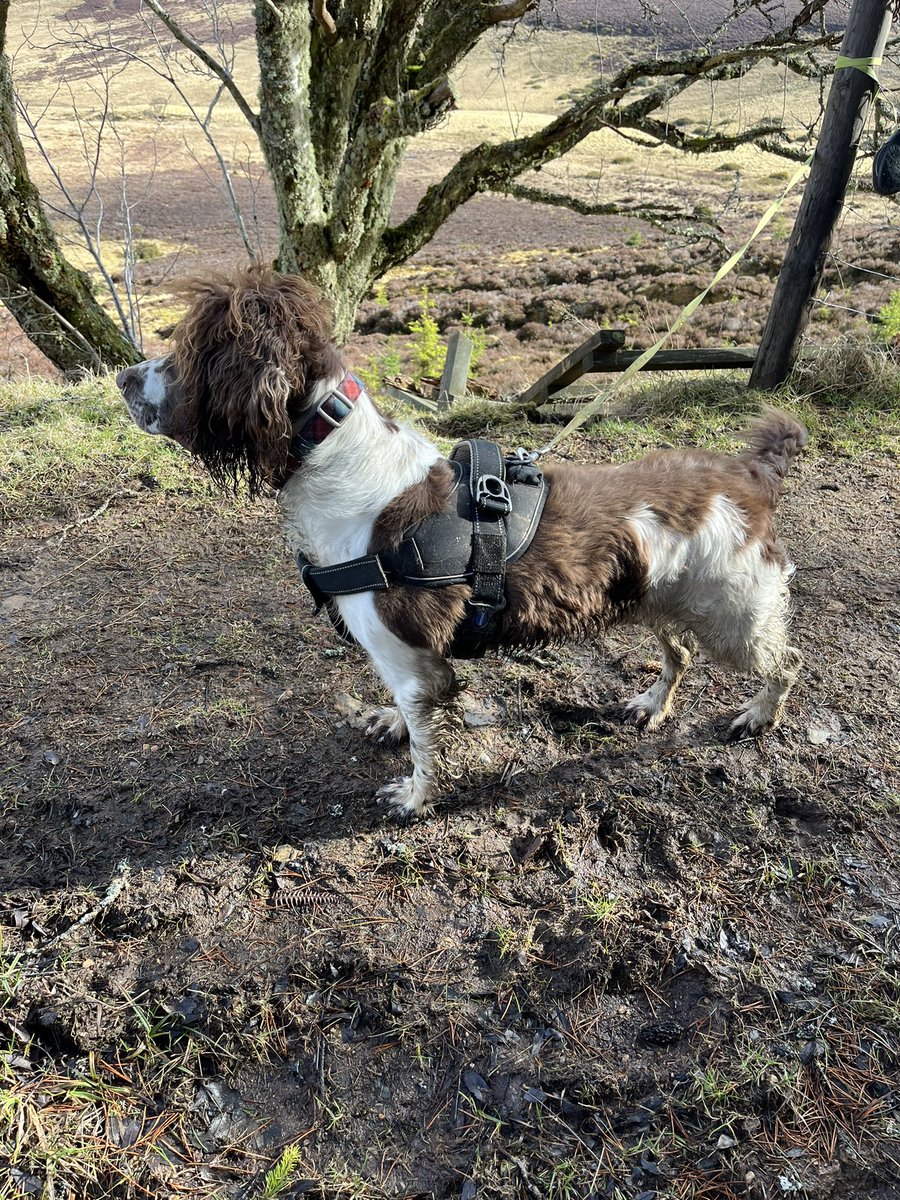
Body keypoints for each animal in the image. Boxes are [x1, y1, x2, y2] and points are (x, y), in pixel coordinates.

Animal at [116, 267, 806, 820]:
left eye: (186, 354)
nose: (123, 375)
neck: (339, 461)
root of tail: (749, 474)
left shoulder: (413, 660)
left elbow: (428, 744)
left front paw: (416, 798)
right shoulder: (411, 659)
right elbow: (406, 712)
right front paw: (390, 725)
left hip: (733, 617)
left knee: (787, 664)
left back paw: (758, 716)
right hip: (655, 599)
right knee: (680, 654)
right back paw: (651, 704)